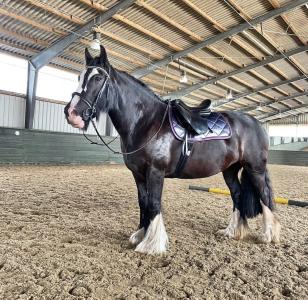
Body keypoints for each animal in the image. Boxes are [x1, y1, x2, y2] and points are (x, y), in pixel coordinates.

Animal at [65, 46, 282, 255]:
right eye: (79, 77)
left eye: (98, 78)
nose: (71, 113)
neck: (146, 122)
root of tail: (255, 122)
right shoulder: (138, 174)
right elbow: (143, 202)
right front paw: (140, 235)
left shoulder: (155, 172)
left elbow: (154, 203)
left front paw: (151, 245)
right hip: (229, 170)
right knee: (237, 195)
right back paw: (232, 232)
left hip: (255, 169)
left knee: (264, 196)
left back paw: (268, 235)